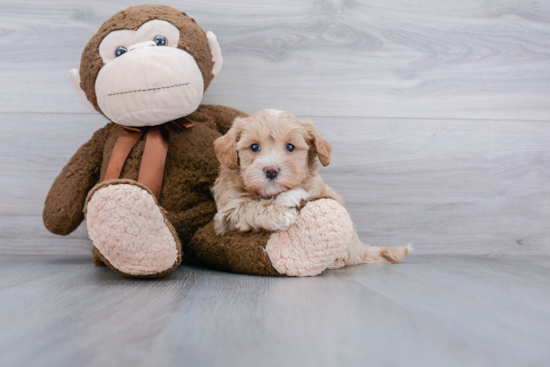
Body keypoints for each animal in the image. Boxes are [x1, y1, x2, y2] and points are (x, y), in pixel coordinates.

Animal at [211, 108, 410, 268]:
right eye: (254, 147)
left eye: (290, 147)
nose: (271, 170)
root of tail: (361, 246)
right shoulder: (226, 214)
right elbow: (250, 207)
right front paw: (281, 212)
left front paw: (290, 197)